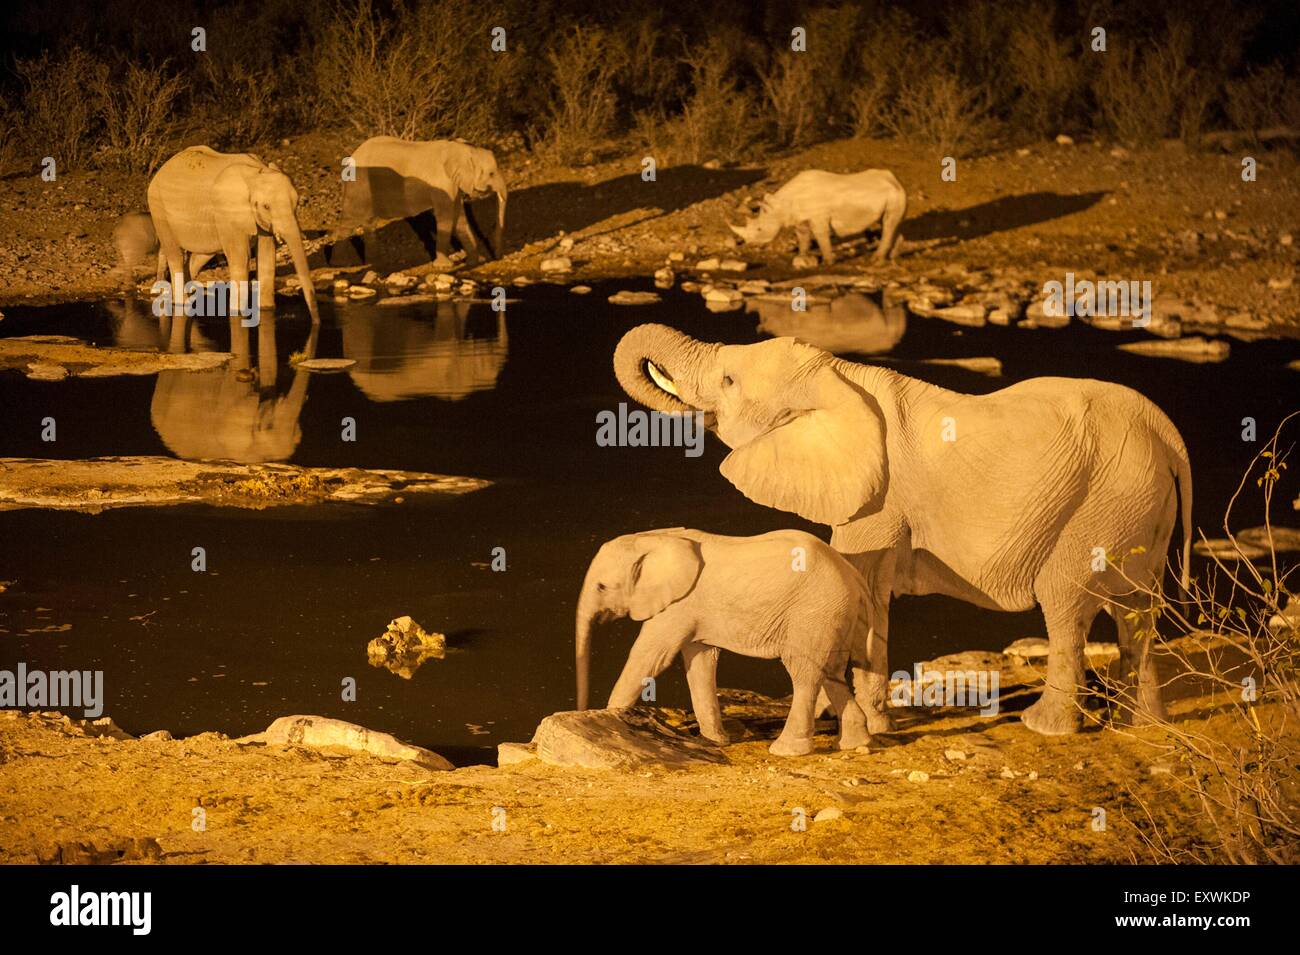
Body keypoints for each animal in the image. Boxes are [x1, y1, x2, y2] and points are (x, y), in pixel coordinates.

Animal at [146, 145, 318, 323]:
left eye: (296, 203)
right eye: (266, 206)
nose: (316, 322)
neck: (255, 173)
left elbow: (267, 258)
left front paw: (266, 310)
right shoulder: (227, 212)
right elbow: (241, 258)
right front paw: (238, 313)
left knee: (202, 254)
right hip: (158, 208)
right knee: (176, 256)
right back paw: (182, 304)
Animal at [340, 136, 506, 267]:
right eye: (491, 173)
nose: (497, 258)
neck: (460, 149)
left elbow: (460, 218)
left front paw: (475, 261)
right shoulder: (441, 183)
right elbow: (446, 216)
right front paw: (444, 265)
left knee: (369, 222)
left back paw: (373, 264)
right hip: (359, 182)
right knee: (349, 220)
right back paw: (340, 264)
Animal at [574, 527, 868, 758]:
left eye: (601, 587)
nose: (581, 710)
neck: (653, 539)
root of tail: (852, 573)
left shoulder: (679, 606)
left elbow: (650, 656)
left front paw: (611, 718)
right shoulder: (691, 610)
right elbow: (700, 663)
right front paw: (715, 741)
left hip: (813, 612)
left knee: (804, 673)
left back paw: (786, 751)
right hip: (833, 614)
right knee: (831, 671)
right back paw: (854, 744)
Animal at [613, 324, 1190, 738]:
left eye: (729, 382)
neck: (838, 376)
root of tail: (1168, 434)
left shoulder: (878, 499)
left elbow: (863, 582)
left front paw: (864, 724)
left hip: (1104, 500)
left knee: (1066, 602)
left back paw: (1045, 728)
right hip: (1140, 503)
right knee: (1136, 611)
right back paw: (1145, 725)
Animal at [728, 167, 909, 263]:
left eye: (759, 229)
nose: (749, 245)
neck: (781, 206)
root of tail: (896, 181)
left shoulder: (819, 217)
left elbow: (821, 235)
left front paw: (827, 262)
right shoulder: (799, 218)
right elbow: (802, 236)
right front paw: (802, 257)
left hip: (895, 195)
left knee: (888, 224)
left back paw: (876, 260)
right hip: (892, 195)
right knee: (890, 223)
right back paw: (894, 256)